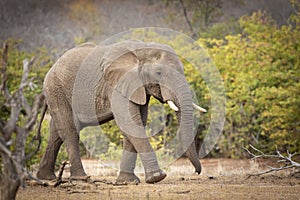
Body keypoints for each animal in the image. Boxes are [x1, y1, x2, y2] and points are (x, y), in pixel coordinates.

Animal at [36, 39, 206, 184]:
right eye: (159, 73)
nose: (196, 172)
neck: (143, 49)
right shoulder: (117, 84)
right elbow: (129, 122)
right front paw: (157, 177)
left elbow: (136, 123)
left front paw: (127, 181)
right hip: (56, 89)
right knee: (70, 131)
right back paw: (81, 178)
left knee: (56, 132)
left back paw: (46, 177)